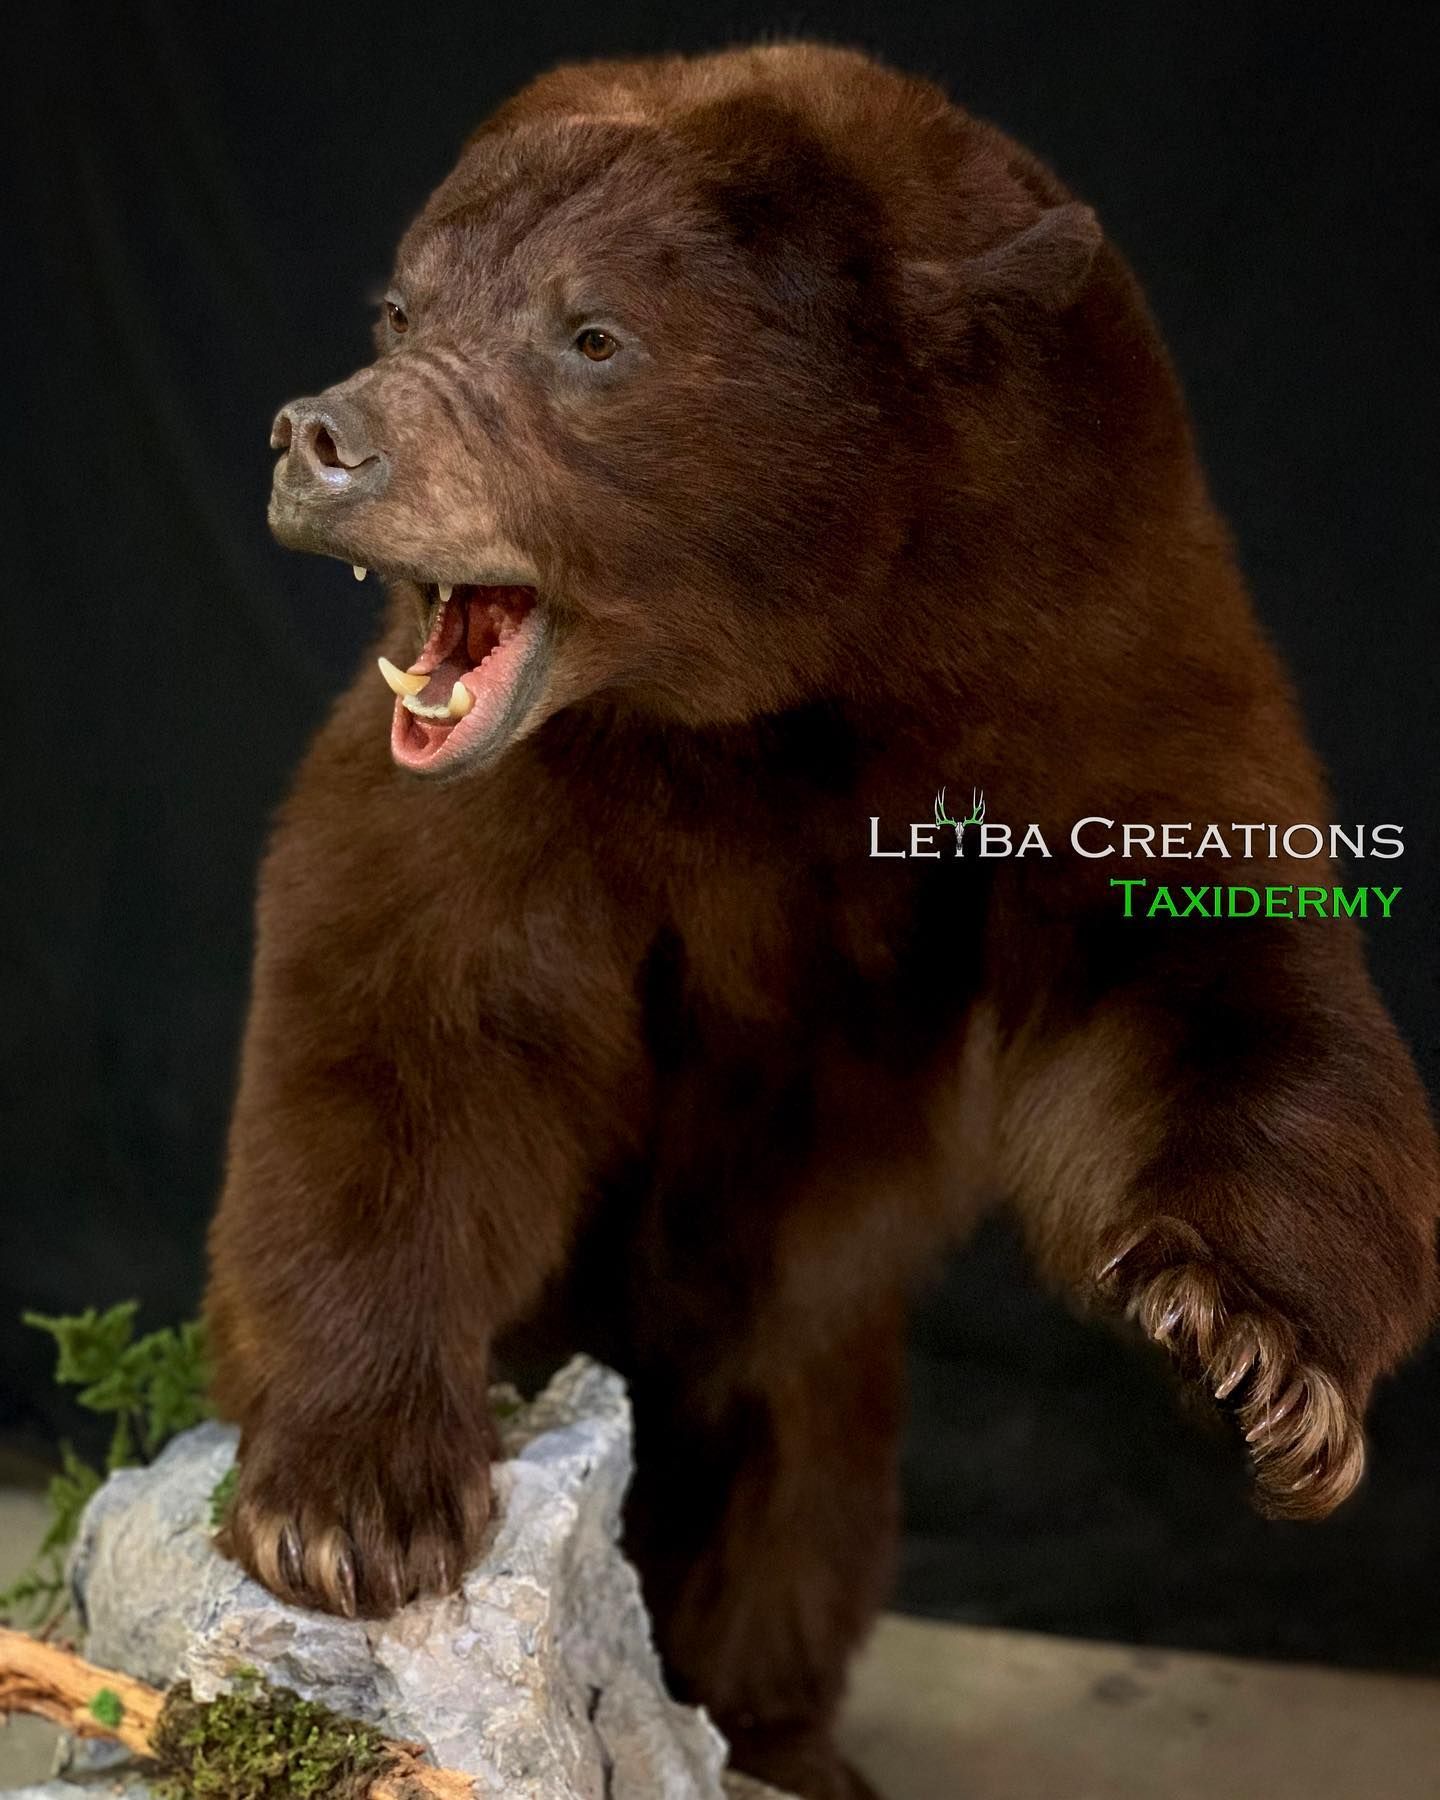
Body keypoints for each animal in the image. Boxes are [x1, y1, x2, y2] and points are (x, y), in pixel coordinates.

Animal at [206, 41, 1440, 1800]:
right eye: (403, 304)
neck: (786, 683)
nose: (322, 435)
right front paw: (353, 1504)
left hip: (814, 1361)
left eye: (592, 334)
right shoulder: (529, 792)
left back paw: (782, 1733)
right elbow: (408, 1013)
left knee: (798, 1508)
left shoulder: (1093, 646)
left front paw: (1257, 1362)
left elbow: (1202, 963)